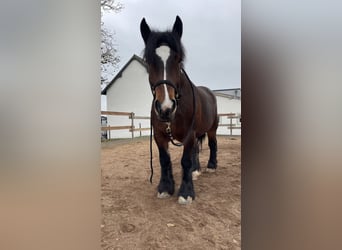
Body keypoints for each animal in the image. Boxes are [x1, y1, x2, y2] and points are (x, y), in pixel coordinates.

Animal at [140, 15, 218, 204]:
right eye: (148, 61)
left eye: (179, 59)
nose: (166, 107)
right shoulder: (160, 136)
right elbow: (164, 160)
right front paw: (165, 187)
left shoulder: (189, 135)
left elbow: (185, 161)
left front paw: (186, 192)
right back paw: (196, 171)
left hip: (212, 129)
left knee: (212, 144)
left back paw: (211, 166)